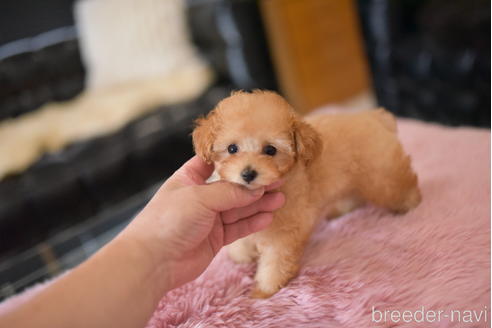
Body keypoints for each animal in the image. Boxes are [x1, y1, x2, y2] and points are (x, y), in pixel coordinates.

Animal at [190, 89, 420, 298]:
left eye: (270, 150)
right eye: (232, 148)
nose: (247, 174)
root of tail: (374, 117)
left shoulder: (285, 231)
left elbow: (275, 261)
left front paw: (265, 289)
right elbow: (241, 238)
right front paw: (242, 255)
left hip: (382, 175)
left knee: (399, 185)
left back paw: (410, 203)